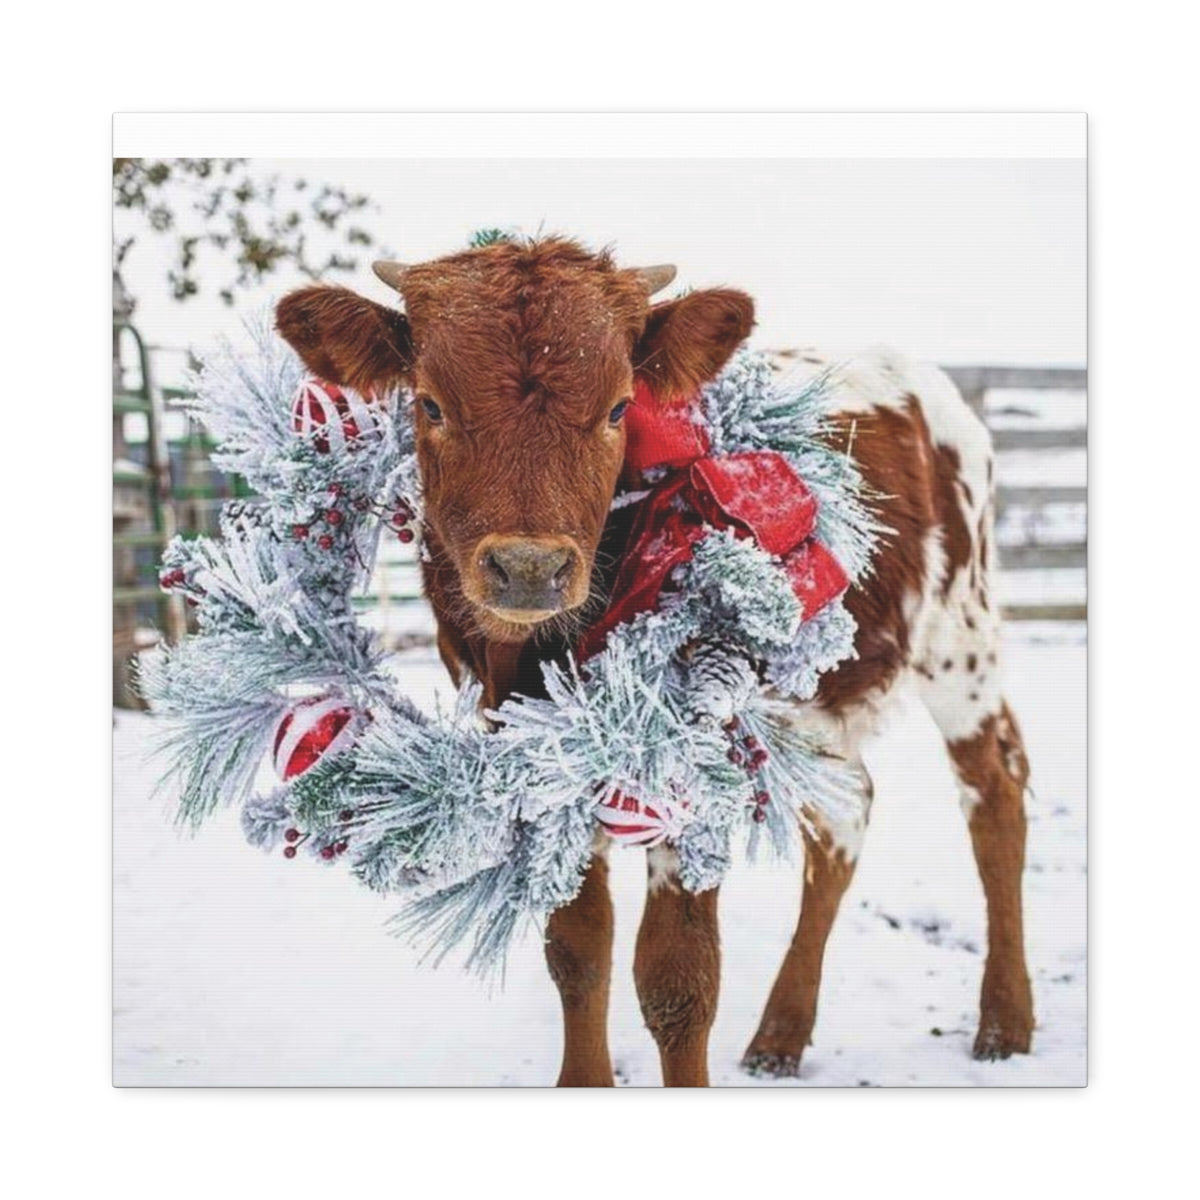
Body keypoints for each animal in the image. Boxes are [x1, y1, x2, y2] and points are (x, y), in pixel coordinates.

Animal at [275, 236, 1034, 1087]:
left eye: (617, 408)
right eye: (430, 404)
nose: (529, 569)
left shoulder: (686, 758)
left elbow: (677, 977)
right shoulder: (534, 751)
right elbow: (578, 950)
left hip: (960, 635)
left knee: (996, 790)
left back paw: (1004, 1020)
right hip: (817, 699)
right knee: (845, 811)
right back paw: (782, 1033)